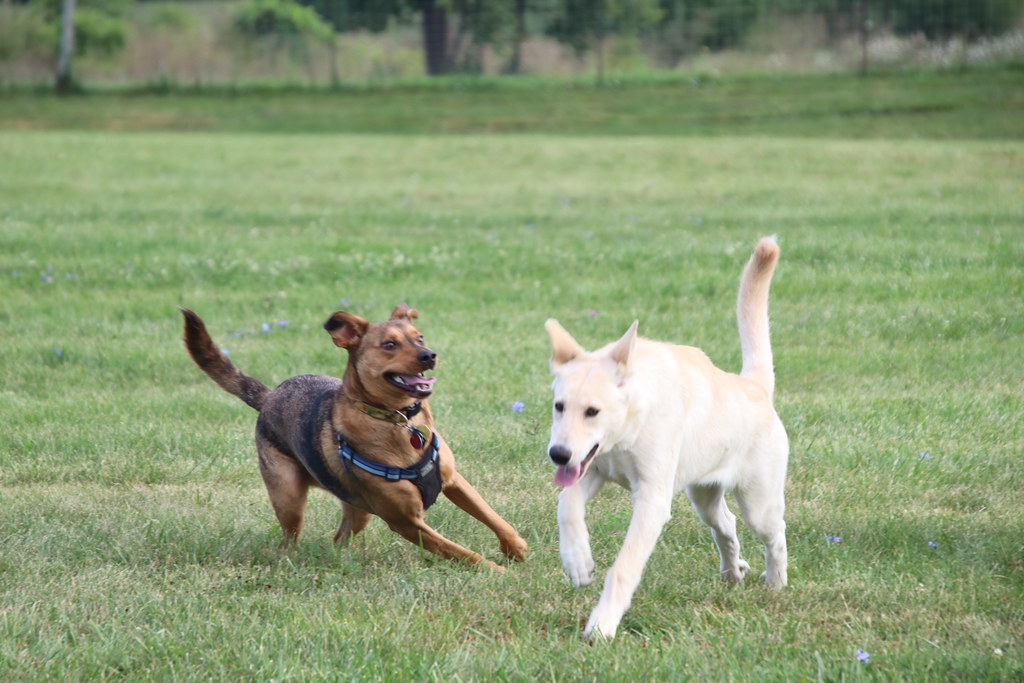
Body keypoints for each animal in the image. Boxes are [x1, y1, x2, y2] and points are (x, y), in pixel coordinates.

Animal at [179, 307, 524, 569]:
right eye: (389, 345)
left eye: (420, 337)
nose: (429, 355)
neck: (398, 421)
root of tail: (270, 397)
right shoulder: (405, 521)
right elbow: (459, 551)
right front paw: (496, 571)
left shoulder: (453, 481)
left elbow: (494, 517)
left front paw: (515, 549)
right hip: (288, 497)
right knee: (289, 538)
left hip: (358, 509)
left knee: (339, 538)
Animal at [548, 237, 786, 638]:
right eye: (559, 406)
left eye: (593, 411)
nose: (558, 454)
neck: (630, 427)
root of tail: (754, 386)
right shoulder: (592, 469)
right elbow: (566, 506)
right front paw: (578, 563)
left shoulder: (651, 500)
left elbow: (624, 567)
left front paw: (601, 626)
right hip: (704, 497)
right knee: (726, 524)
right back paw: (732, 571)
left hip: (759, 502)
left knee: (774, 533)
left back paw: (776, 581)